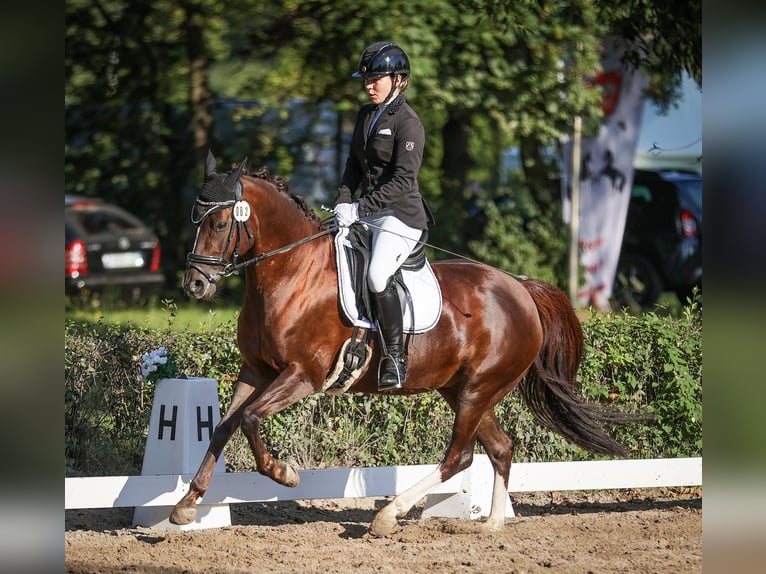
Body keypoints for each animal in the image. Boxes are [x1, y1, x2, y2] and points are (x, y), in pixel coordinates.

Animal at [172, 152, 636, 536]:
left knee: (459, 457)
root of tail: (520, 288)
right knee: (499, 449)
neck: (292, 272)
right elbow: (225, 425)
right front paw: (187, 504)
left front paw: (284, 473)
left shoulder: (303, 375)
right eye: (194, 220)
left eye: (218, 224)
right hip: (464, 389)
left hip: (479, 388)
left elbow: (250, 419)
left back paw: (388, 515)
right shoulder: (256, 370)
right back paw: (491, 525)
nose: (195, 284)